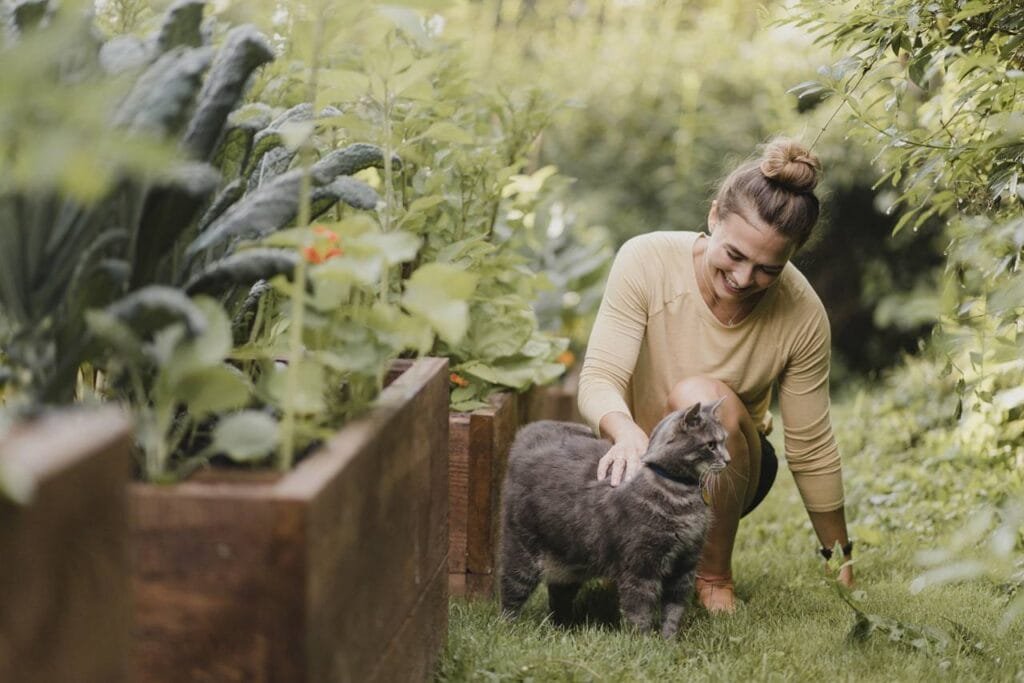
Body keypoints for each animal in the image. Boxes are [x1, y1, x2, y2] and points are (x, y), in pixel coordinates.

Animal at [497, 397, 729, 638]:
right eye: (711, 444)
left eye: (724, 441)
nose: (728, 460)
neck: (680, 493)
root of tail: (530, 431)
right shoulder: (640, 566)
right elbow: (639, 610)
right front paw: (645, 642)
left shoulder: (685, 566)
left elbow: (674, 611)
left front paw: (669, 640)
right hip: (521, 551)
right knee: (510, 592)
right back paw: (508, 628)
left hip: (569, 563)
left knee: (559, 596)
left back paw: (563, 628)